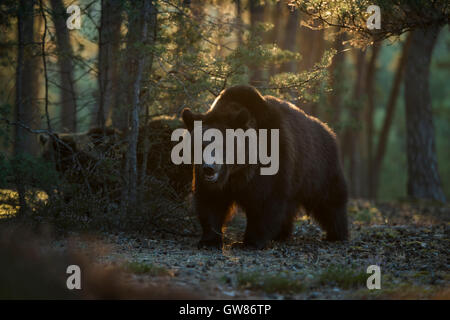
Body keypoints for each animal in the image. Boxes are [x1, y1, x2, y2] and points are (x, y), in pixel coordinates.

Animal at [181, 85, 350, 250]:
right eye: (200, 145)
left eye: (222, 146)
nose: (209, 168)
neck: (238, 171)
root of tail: (328, 130)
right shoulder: (211, 180)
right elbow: (211, 201)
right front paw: (209, 241)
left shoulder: (273, 164)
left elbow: (264, 202)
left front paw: (249, 242)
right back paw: (281, 234)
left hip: (319, 169)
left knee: (329, 201)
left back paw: (336, 234)